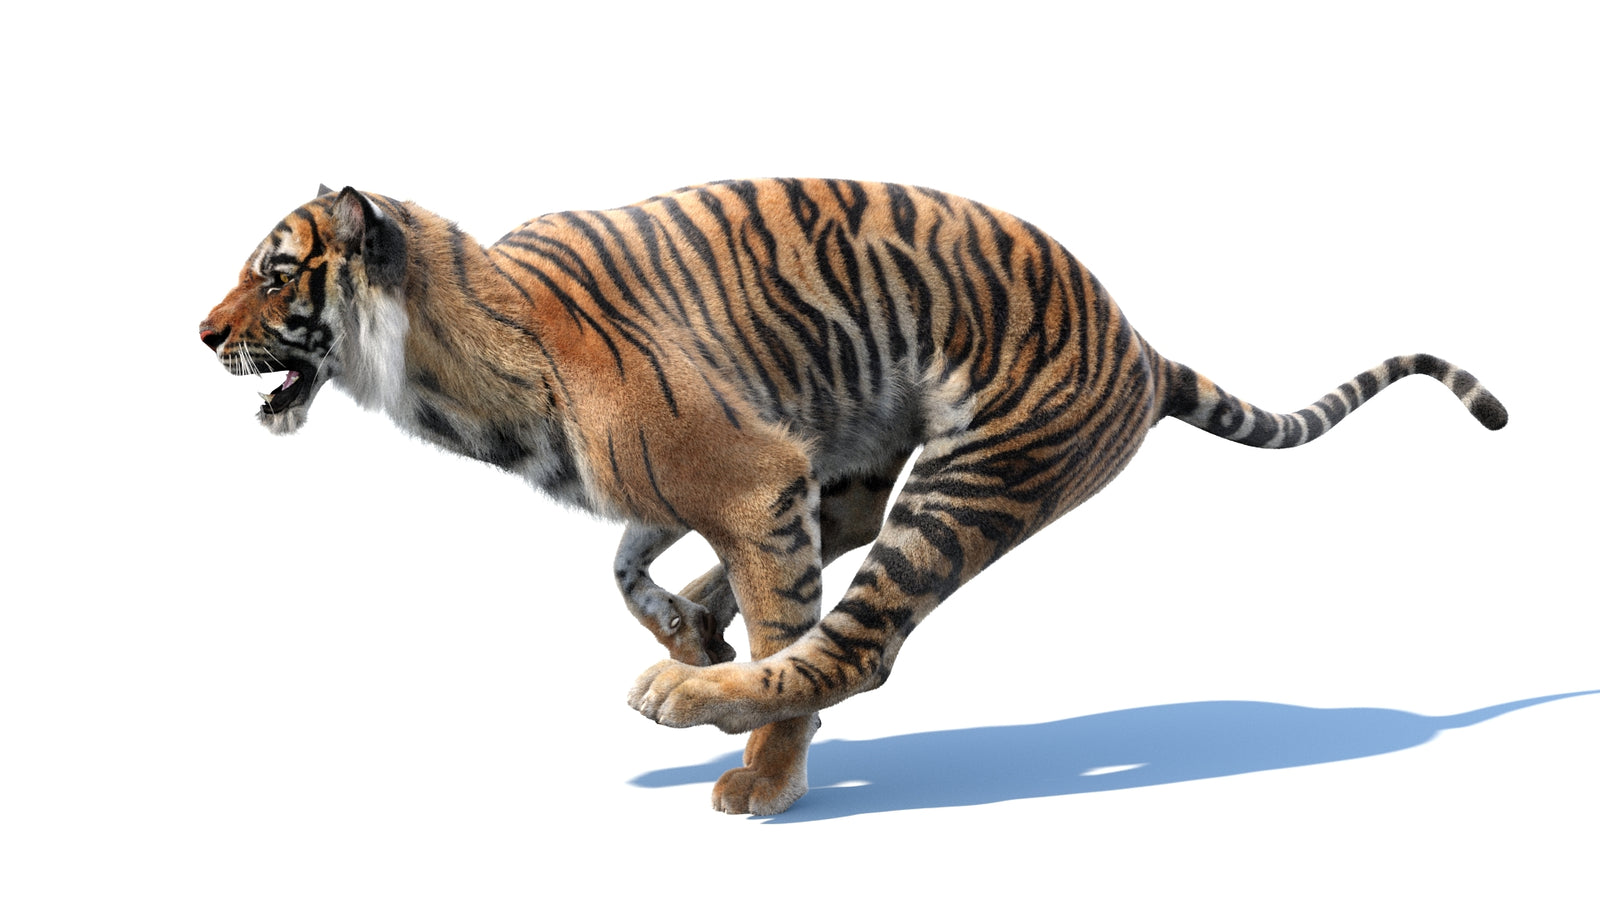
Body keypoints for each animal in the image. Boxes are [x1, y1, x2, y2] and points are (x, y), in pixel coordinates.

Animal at [200, 179, 1507, 816]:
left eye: (274, 273)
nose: (202, 334)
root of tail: (1140, 342)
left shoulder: (748, 473)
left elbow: (777, 623)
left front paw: (763, 779)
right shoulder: (739, 474)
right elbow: (622, 559)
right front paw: (686, 623)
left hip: (963, 486)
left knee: (856, 647)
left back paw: (691, 698)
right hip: (860, 464)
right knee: (828, 595)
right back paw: (695, 645)